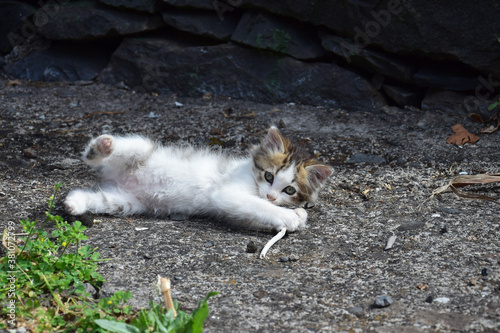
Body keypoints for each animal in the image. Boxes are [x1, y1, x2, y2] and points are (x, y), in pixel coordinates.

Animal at [65, 126, 332, 230]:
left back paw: (74, 203)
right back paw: (100, 147)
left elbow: (257, 211)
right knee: (99, 154)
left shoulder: (234, 210)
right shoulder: (227, 193)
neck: (252, 176)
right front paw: (289, 216)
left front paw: (297, 213)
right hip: (140, 149)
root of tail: (117, 179)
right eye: (269, 176)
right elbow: (259, 205)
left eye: (289, 190)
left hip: (126, 202)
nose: (271, 195)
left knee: (96, 197)